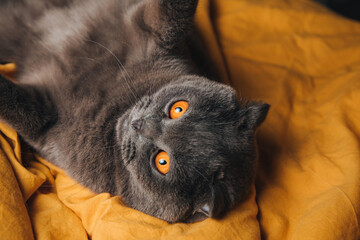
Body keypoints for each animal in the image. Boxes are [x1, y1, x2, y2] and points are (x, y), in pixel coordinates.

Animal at [0, 0, 268, 222]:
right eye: (179, 108)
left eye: (162, 162)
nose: (139, 125)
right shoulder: (150, 32)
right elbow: (174, 13)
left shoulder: (47, 120)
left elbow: (13, 101)